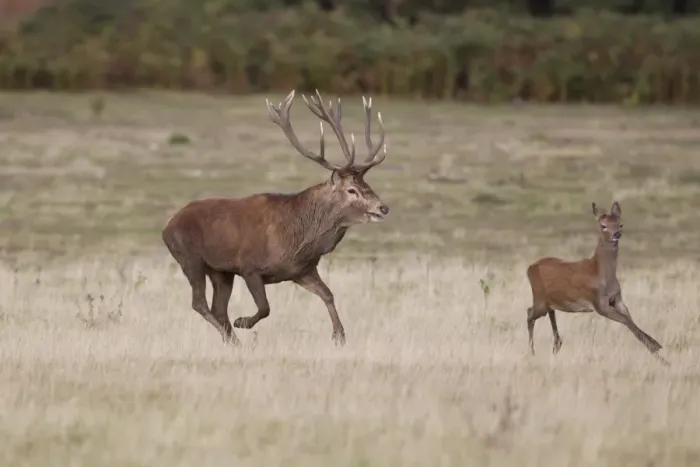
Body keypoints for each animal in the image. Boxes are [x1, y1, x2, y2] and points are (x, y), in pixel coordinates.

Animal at [162, 89, 390, 347]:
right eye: (352, 190)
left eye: (367, 185)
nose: (383, 207)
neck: (297, 241)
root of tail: (166, 227)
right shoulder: (250, 266)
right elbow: (265, 307)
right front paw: (243, 322)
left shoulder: (302, 270)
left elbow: (328, 294)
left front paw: (339, 336)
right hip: (190, 257)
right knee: (199, 303)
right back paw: (234, 339)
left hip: (221, 271)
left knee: (217, 308)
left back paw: (232, 340)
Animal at [525, 201, 667, 364]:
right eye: (603, 225)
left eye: (620, 224)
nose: (616, 234)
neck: (600, 273)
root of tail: (529, 268)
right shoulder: (599, 303)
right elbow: (625, 320)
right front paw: (656, 346)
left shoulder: (617, 299)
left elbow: (630, 320)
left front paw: (659, 353)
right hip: (539, 298)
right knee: (529, 312)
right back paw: (532, 352)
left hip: (550, 300)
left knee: (549, 312)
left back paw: (556, 345)